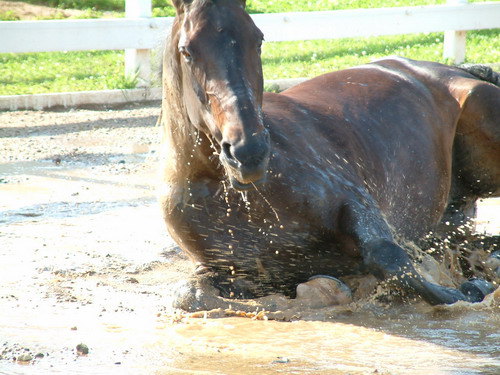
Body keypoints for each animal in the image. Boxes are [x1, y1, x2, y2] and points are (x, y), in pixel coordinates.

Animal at [159, 0, 496, 308]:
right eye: (187, 51)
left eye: (258, 39)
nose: (248, 153)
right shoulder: (223, 268)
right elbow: (189, 295)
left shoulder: (356, 202)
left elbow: (390, 260)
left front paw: (471, 289)